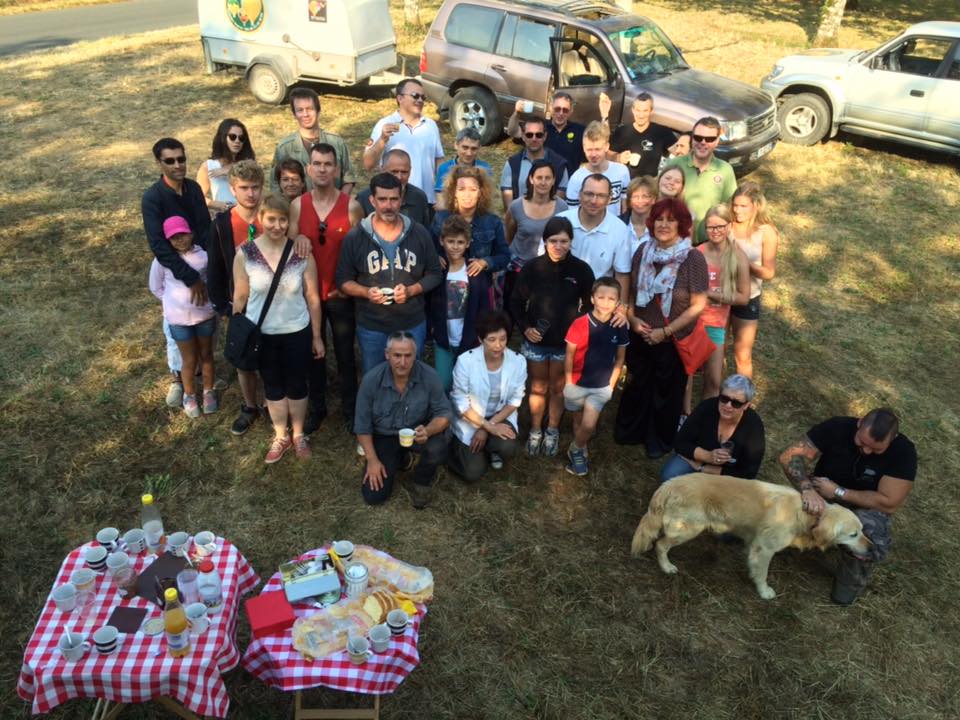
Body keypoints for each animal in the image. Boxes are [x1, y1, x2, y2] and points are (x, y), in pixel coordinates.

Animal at [632, 470, 872, 600]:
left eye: (863, 530)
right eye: (853, 534)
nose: (872, 548)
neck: (806, 515)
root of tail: (668, 485)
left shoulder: (754, 542)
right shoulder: (764, 548)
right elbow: (762, 572)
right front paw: (764, 591)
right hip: (687, 529)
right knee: (660, 545)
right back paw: (667, 567)